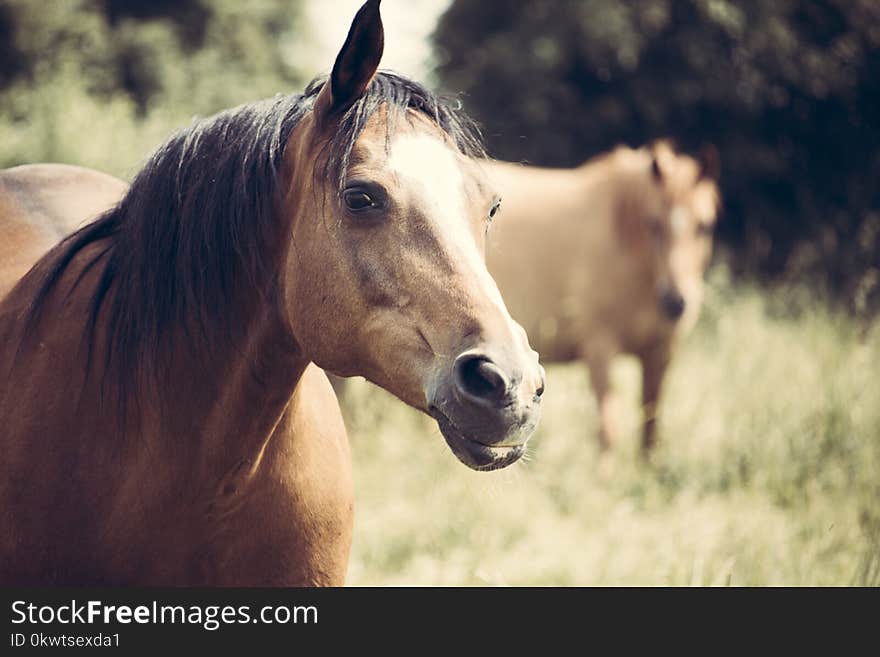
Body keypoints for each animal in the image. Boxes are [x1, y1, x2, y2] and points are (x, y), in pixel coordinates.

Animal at [484, 141, 720, 454]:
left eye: (705, 226)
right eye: (654, 224)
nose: (675, 302)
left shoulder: (660, 353)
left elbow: (651, 429)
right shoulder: (599, 349)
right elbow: (608, 432)